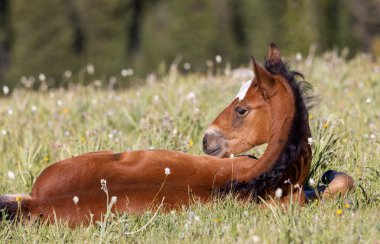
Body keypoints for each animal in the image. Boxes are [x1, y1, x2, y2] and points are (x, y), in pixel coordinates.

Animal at [0, 44, 354, 227]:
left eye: (241, 109)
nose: (207, 140)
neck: (262, 179)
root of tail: (37, 202)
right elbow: (341, 182)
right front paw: (330, 175)